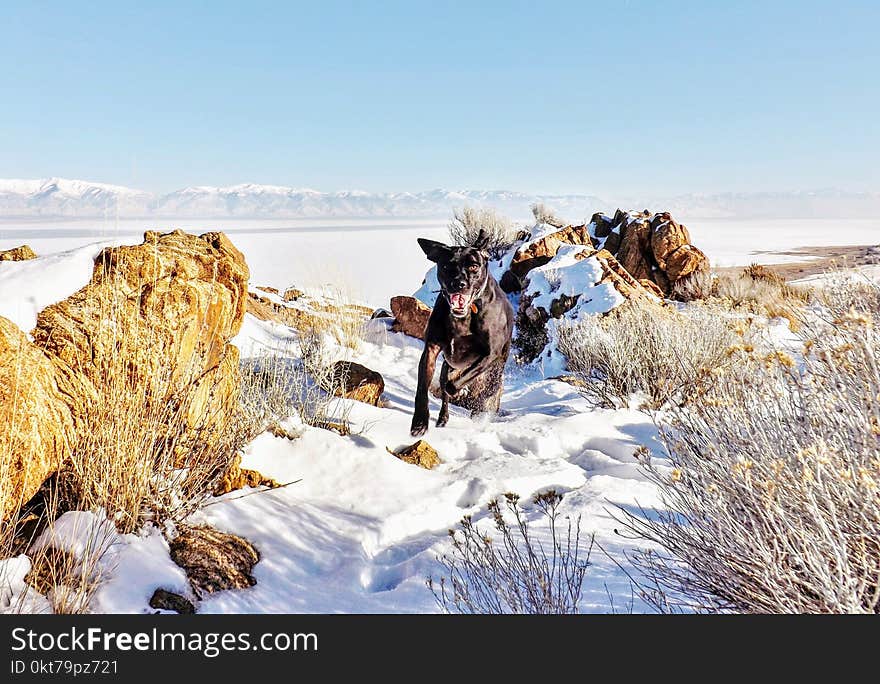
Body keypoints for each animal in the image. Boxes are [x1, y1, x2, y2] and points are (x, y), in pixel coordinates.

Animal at [410, 227, 516, 436]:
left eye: (474, 266)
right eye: (445, 266)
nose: (459, 283)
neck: (464, 317)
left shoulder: (488, 355)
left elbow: (457, 382)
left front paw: (459, 389)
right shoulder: (431, 348)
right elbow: (423, 388)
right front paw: (419, 422)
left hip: (496, 369)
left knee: (486, 393)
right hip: (447, 365)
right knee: (444, 387)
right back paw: (443, 418)